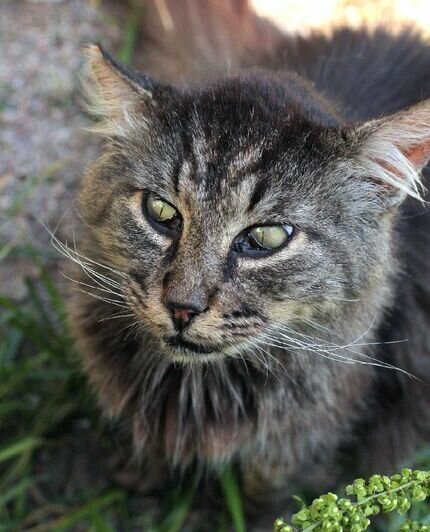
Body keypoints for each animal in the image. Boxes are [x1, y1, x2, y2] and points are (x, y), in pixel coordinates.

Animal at [64, 0, 430, 524]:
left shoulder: (310, 445)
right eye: (161, 212)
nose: (182, 307)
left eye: (265, 237)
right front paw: (138, 479)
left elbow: (273, 494)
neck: (197, 389)